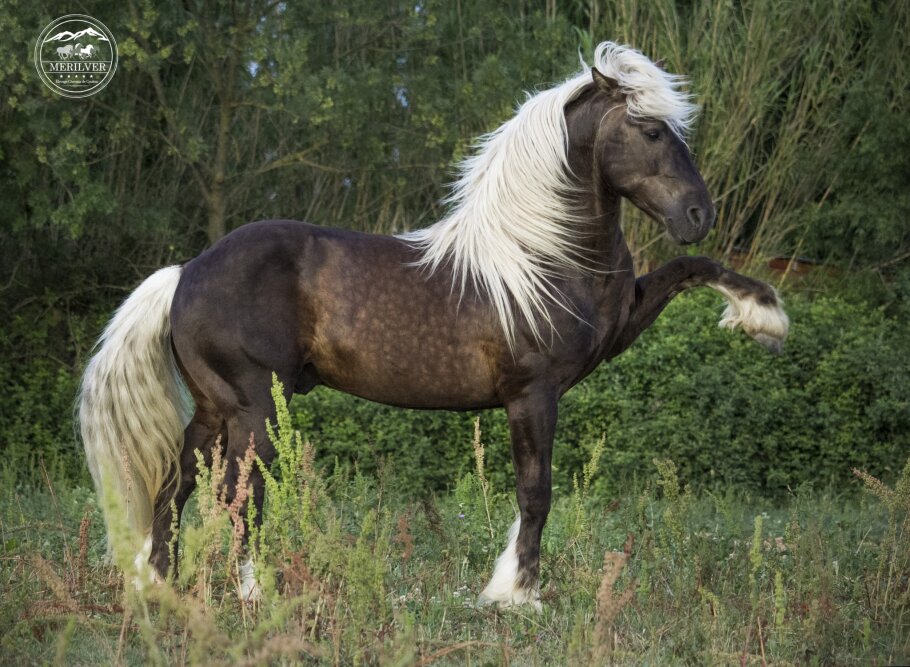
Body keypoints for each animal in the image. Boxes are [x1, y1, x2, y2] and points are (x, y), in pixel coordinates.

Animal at [78, 42, 789, 608]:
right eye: (648, 130)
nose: (698, 213)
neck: (543, 255)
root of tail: (187, 272)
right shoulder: (533, 396)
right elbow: (536, 492)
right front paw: (515, 595)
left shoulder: (618, 329)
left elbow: (690, 267)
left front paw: (763, 315)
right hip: (256, 410)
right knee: (238, 495)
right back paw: (254, 593)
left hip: (214, 410)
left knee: (175, 487)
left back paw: (159, 589)